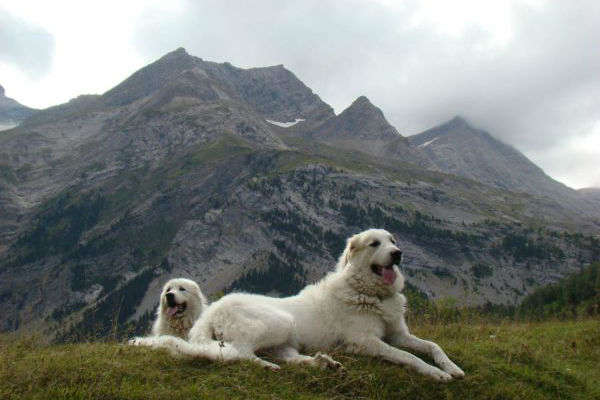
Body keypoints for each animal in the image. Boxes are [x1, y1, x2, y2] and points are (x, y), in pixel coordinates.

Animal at [132, 228, 464, 382]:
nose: (398, 253)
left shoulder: (398, 334)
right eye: (375, 244)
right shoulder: (367, 342)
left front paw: (452, 367)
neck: (369, 293)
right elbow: (408, 357)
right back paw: (270, 366)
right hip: (279, 322)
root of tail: (211, 311)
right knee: (237, 353)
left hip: (285, 337)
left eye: (392, 240)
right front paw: (435, 374)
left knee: (287, 357)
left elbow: (432, 346)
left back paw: (323, 363)